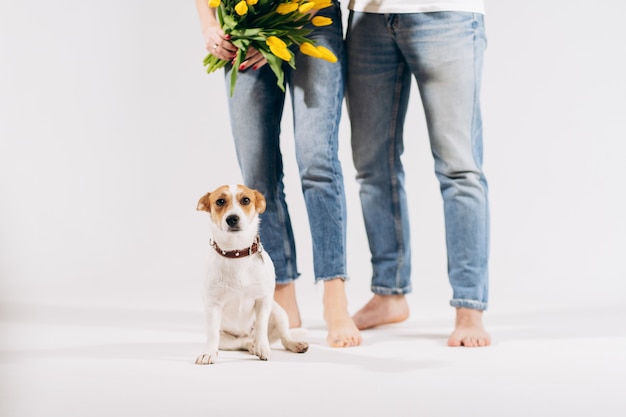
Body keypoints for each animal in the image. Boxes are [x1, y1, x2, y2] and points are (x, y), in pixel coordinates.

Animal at [193, 184, 304, 362]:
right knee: (242, 342)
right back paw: (252, 346)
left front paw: (263, 347)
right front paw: (208, 353)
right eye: (220, 201)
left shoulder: (263, 300)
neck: (236, 252)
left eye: (246, 200)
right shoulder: (212, 305)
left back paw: (291, 344)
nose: (232, 218)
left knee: (284, 337)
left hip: (279, 313)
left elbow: (261, 326)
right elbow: (212, 335)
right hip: (226, 340)